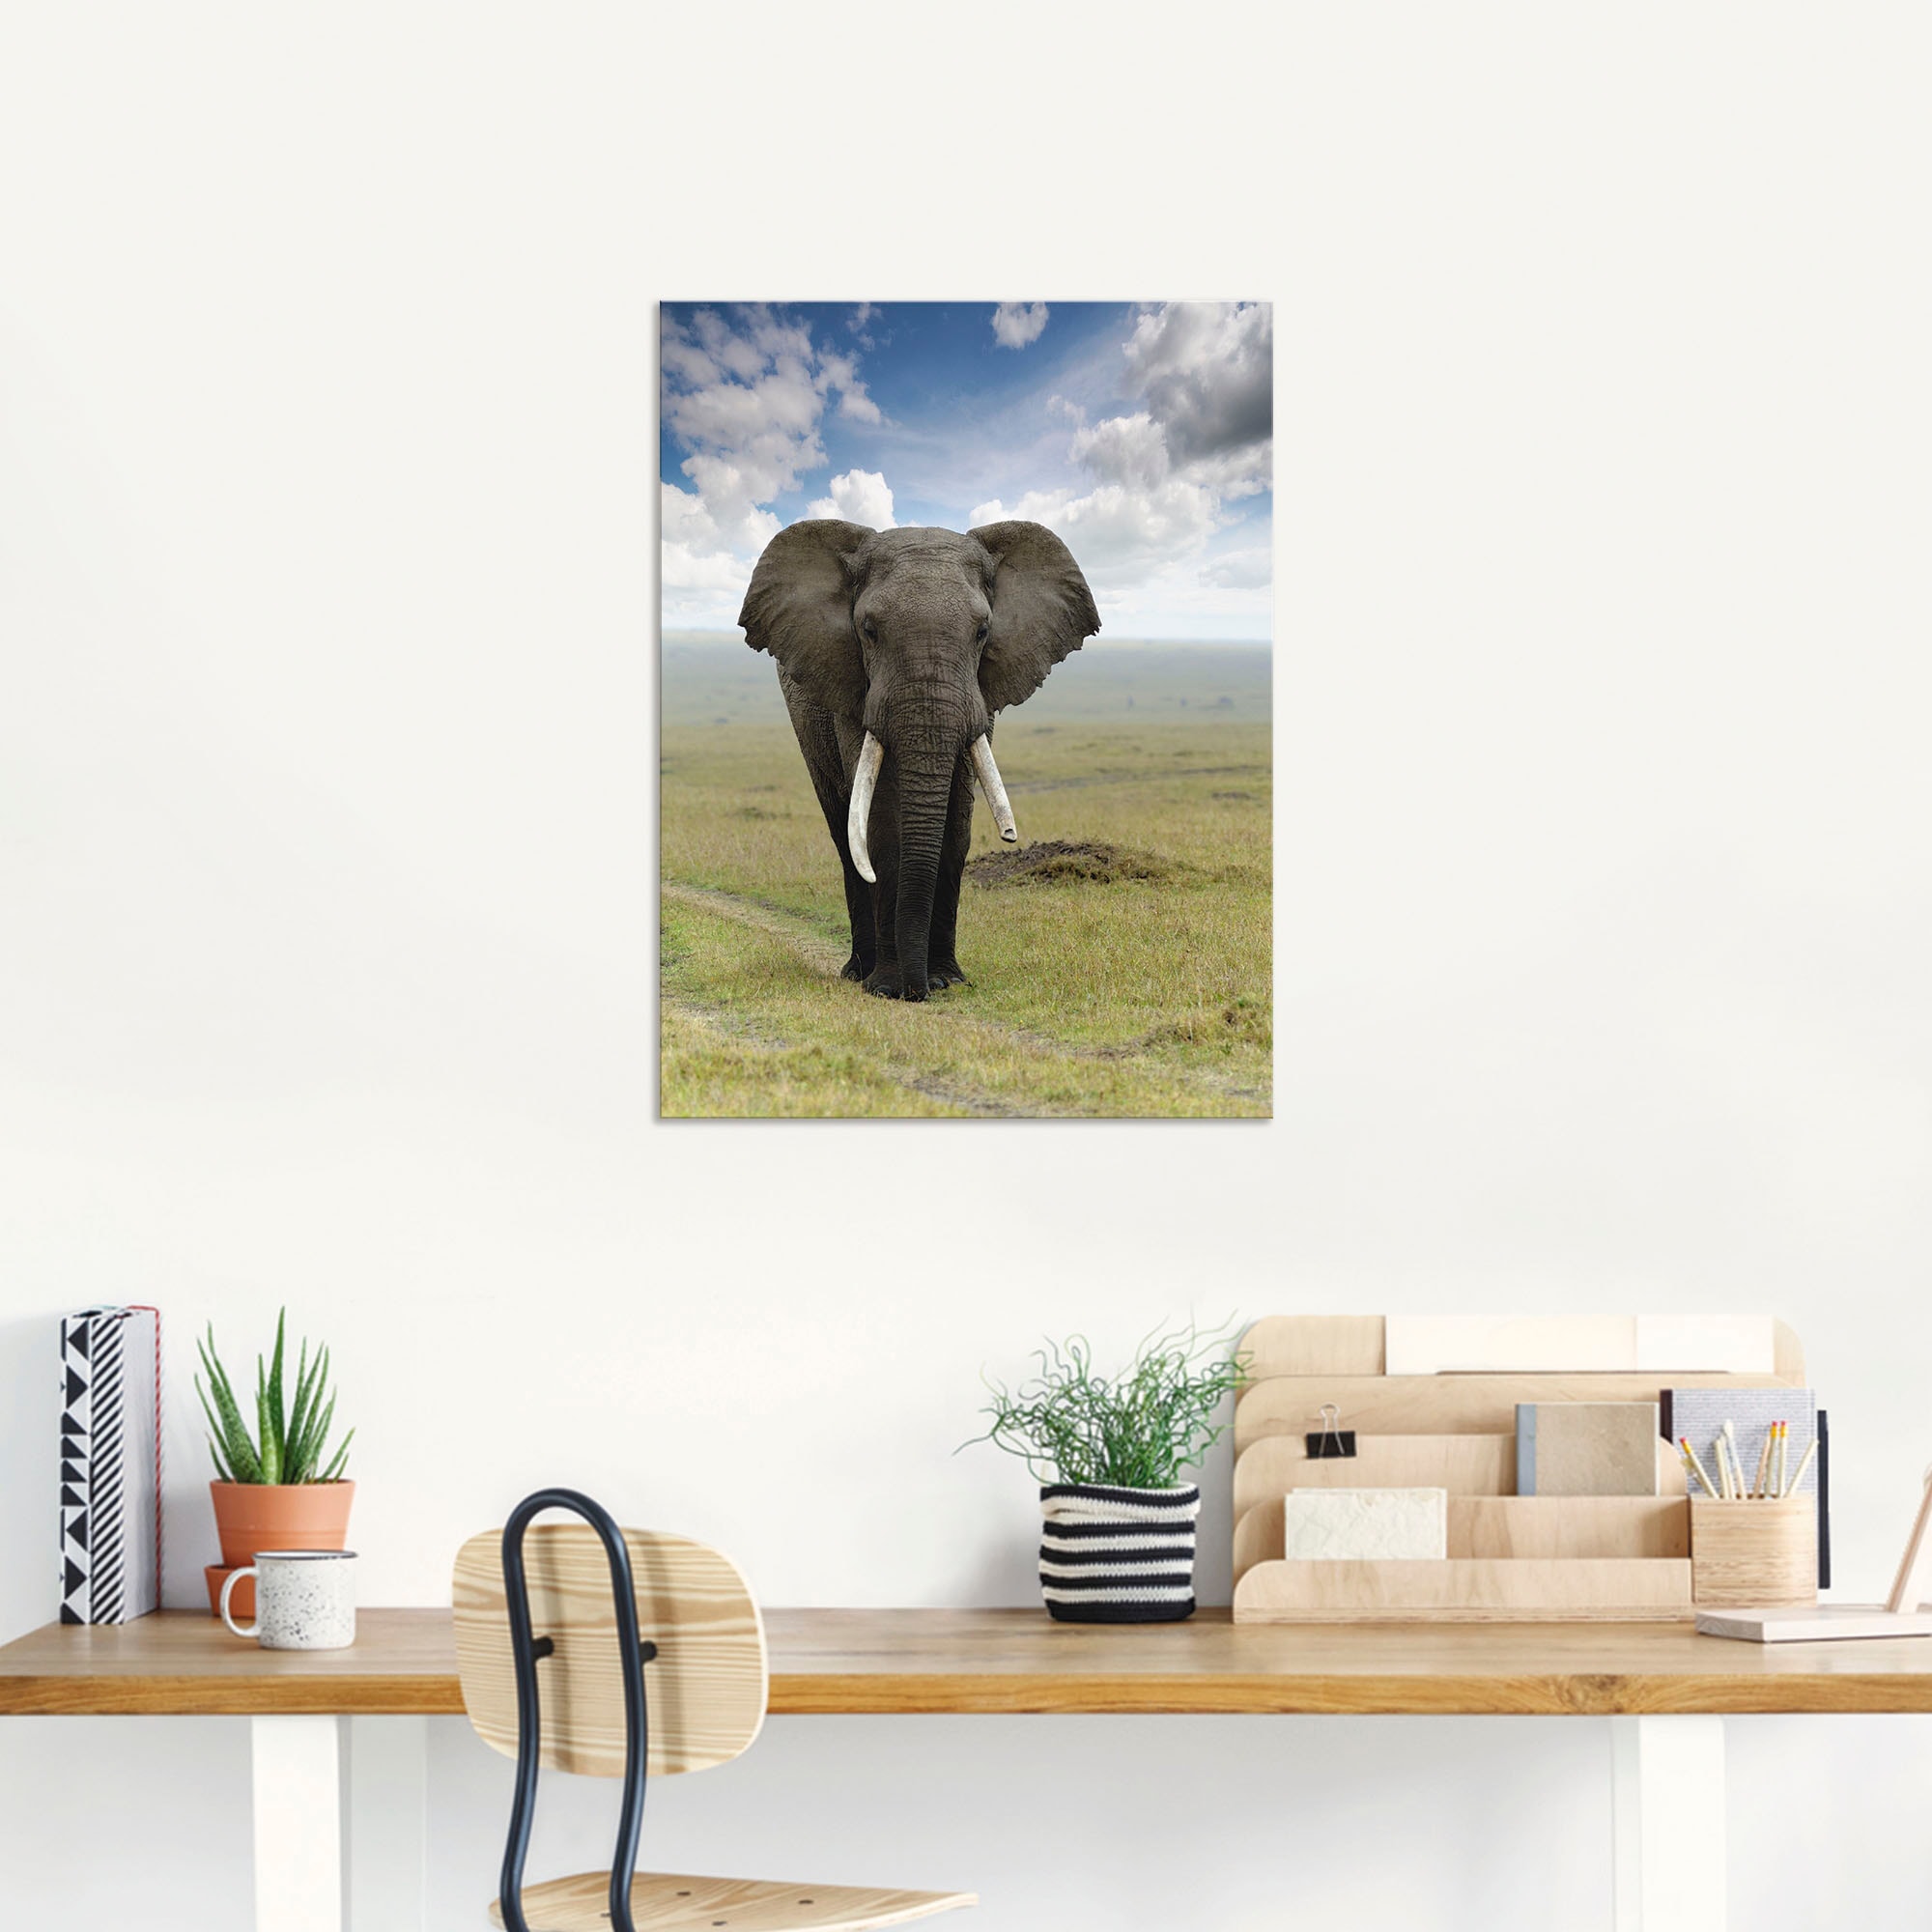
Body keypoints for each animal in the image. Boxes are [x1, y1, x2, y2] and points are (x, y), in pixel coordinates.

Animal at [739, 519, 1100, 1002]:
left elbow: (957, 824)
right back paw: (858, 972)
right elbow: (879, 824)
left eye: (983, 632)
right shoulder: (853, 690)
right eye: (869, 630)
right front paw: (887, 987)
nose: (919, 990)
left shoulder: (981, 697)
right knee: (844, 832)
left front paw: (948, 979)